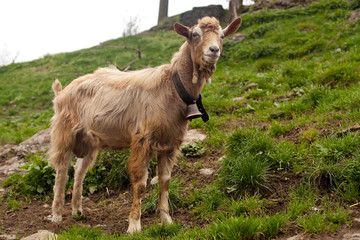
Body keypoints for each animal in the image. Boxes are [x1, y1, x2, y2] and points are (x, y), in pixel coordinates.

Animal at [47, 16, 239, 232]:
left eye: (222, 35)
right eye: (194, 34)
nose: (213, 50)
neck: (172, 87)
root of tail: (61, 93)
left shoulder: (171, 142)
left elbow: (165, 180)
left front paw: (166, 219)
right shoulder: (142, 139)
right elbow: (140, 183)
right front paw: (134, 226)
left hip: (90, 141)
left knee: (79, 170)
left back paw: (77, 211)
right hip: (63, 134)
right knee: (61, 171)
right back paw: (56, 215)